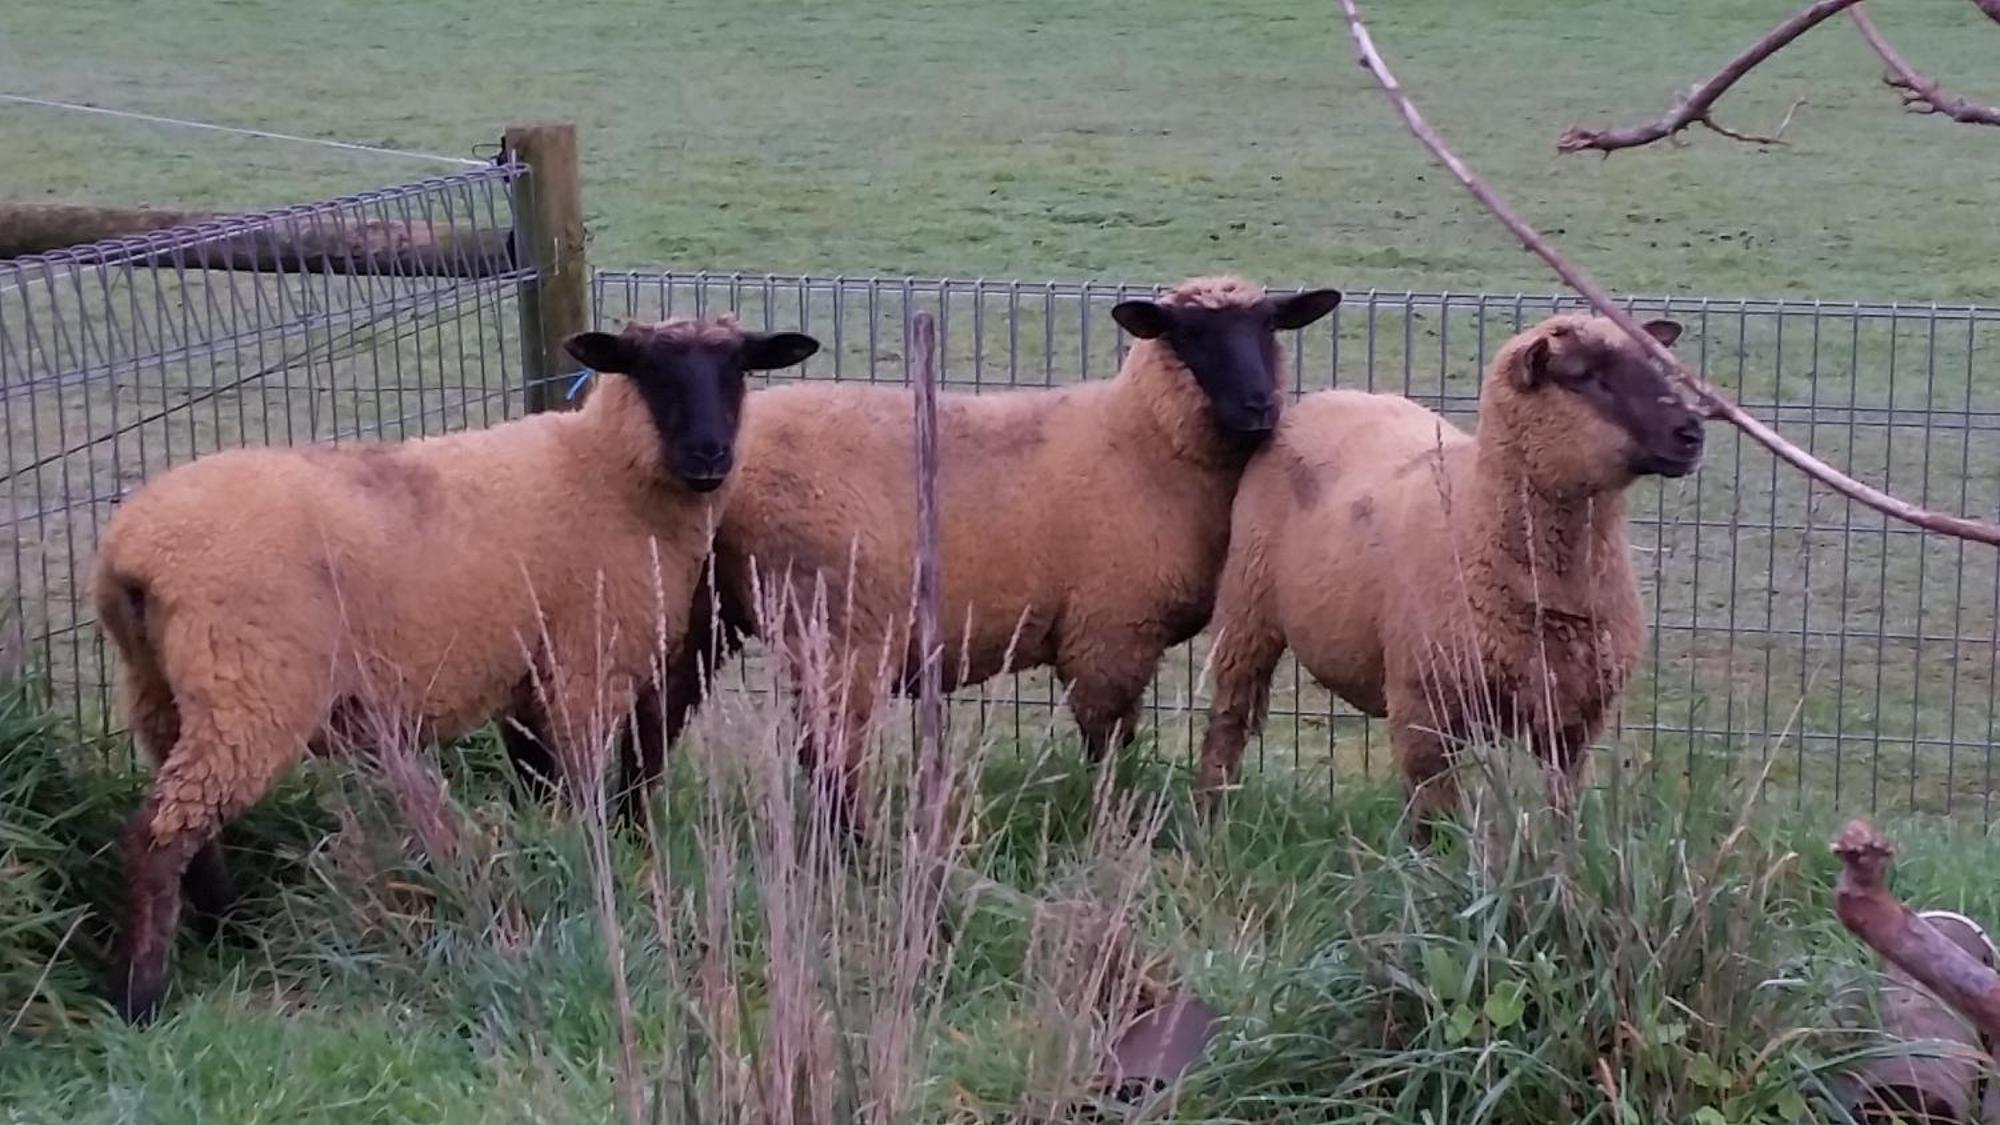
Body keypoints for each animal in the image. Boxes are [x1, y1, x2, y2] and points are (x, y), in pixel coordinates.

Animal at [90, 312, 824, 1016]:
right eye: (650, 370)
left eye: (738, 369)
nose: (710, 455)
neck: (605, 471)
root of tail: (133, 553)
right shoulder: (585, 665)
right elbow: (585, 787)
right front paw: (596, 867)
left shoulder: (526, 679)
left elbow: (540, 788)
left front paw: (547, 851)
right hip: (250, 688)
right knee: (158, 836)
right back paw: (142, 993)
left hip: (161, 692)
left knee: (189, 827)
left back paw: (227, 929)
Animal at [660, 276, 1344, 828]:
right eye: (1190, 335)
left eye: (1269, 327)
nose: (1260, 407)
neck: (1143, 438)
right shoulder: (1108, 633)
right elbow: (1109, 749)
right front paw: (1111, 827)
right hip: (831, 622)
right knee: (828, 753)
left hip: (707, 609)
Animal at [1192, 312, 1712, 832]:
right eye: (1585, 375)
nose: (1691, 433)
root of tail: (1327, 397)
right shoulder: (1424, 709)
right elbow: (1433, 823)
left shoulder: (1572, 720)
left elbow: (1561, 815)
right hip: (1246, 607)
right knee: (1230, 720)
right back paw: (1210, 819)